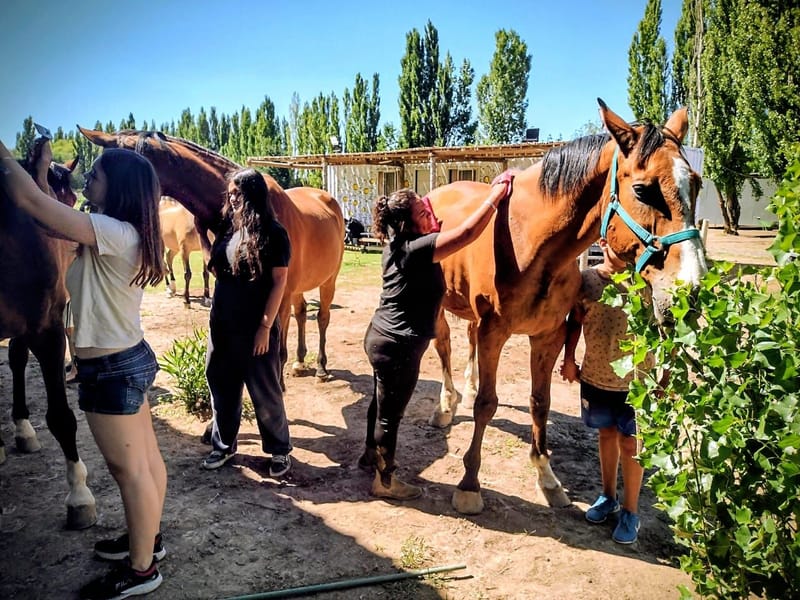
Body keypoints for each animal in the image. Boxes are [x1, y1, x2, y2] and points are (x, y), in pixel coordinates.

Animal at [77, 127, 345, 387]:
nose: (89, 209)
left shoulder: (280, 296)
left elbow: (278, 353)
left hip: (328, 280)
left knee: (322, 317)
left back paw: (321, 367)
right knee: (301, 313)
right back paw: (300, 362)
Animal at [427, 99, 707, 514]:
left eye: (697, 184)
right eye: (642, 190)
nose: (691, 289)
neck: (530, 241)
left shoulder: (549, 336)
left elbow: (539, 403)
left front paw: (546, 477)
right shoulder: (496, 332)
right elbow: (486, 405)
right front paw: (469, 485)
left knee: (467, 340)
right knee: (444, 346)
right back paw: (445, 405)